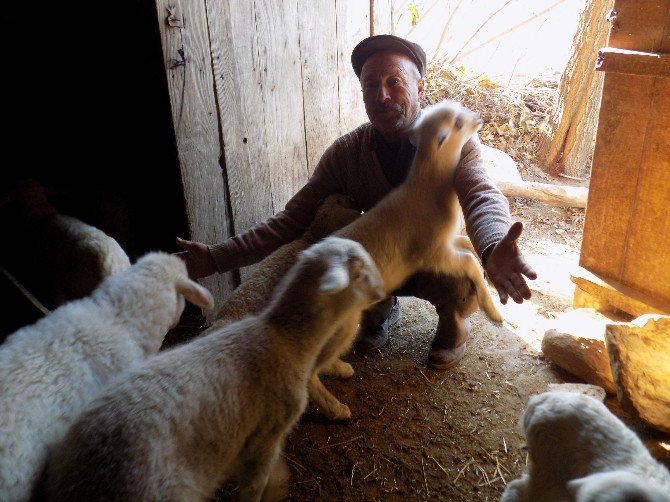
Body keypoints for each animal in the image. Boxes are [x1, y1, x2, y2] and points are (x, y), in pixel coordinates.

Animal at [308, 100, 502, 422]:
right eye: (458, 124)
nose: (481, 119)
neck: (427, 188)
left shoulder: (448, 241)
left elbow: (470, 247)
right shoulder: (435, 254)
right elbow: (470, 264)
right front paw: (493, 310)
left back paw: (341, 369)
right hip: (340, 323)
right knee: (307, 371)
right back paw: (336, 409)